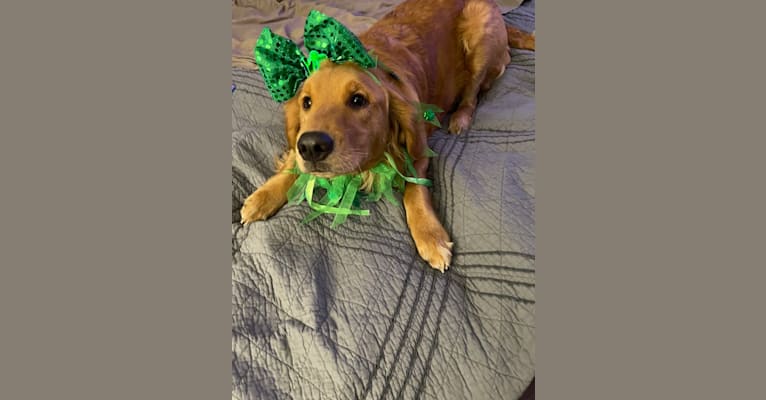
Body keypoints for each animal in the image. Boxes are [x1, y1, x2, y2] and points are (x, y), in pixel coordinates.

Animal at [243, 0, 536, 272]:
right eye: (306, 102)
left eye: (358, 100)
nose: (312, 146)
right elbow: (291, 163)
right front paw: (263, 196)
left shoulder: (417, 148)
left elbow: (414, 191)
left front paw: (430, 235)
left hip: (479, 38)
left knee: (473, 94)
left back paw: (460, 118)